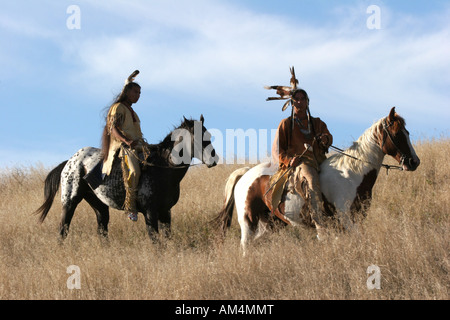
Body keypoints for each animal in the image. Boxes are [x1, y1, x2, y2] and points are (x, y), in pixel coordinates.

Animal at [34, 116, 218, 241]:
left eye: (208, 134)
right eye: (197, 137)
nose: (213, 160)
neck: (162, 166)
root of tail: (70, 162)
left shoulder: (166, 212)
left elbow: (167, 238)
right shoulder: (150, 213)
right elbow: (156, 241)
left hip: (99, 205)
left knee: (102, 229)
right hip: (70, 201)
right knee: (63, 229)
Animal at [214, 108, 418, 255]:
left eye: (408, 132)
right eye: (397, 133)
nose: (413, 162)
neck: (353, 173)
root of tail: (245, 174)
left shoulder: (356, 219)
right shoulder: (347, 218)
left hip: (270, 224)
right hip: (248, 221)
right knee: (246, 246)